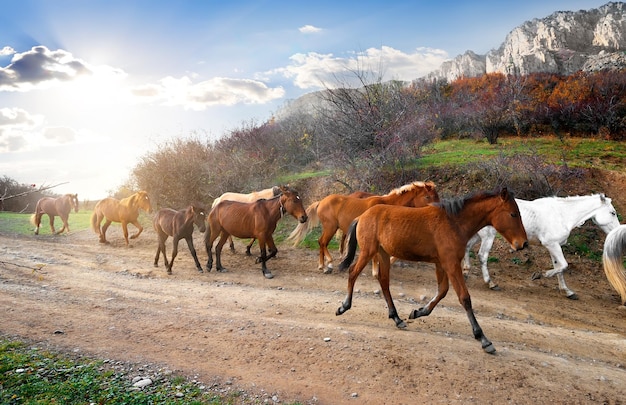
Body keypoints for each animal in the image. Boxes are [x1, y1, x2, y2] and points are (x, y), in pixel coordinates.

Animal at [286, 181, 436, 274]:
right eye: (427, 196)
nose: (438, 209)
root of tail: (321, 201)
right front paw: (376, 270)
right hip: (331, 227)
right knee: (322, 242)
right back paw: (328, 264)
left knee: (321, 242)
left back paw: (322, 265)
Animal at [336, 188, 528, 352]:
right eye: (513, 214)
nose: (523, 243)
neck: (454, 223)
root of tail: (362, 216)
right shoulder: (451, 264)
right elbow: (464, 297)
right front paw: (483, 338)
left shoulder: (442, 264)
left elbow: (442, 291)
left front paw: (418, 312)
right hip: (368, 251)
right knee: (353, 272)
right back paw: (344, 306)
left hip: (382, 253)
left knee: (383, 282)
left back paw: (397, 318)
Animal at [460, 194, 616, 298]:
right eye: (613, 213)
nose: (616, 230)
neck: (562, 215)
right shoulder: (552, 244)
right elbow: (563, 265)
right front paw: (541, 275)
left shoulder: (554, 246)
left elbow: (559, 268)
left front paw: (567, 291)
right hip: (487, 236)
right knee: (482, 256)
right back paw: (491, 283)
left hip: (477, 235)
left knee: (466, 247)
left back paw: (466, 272)